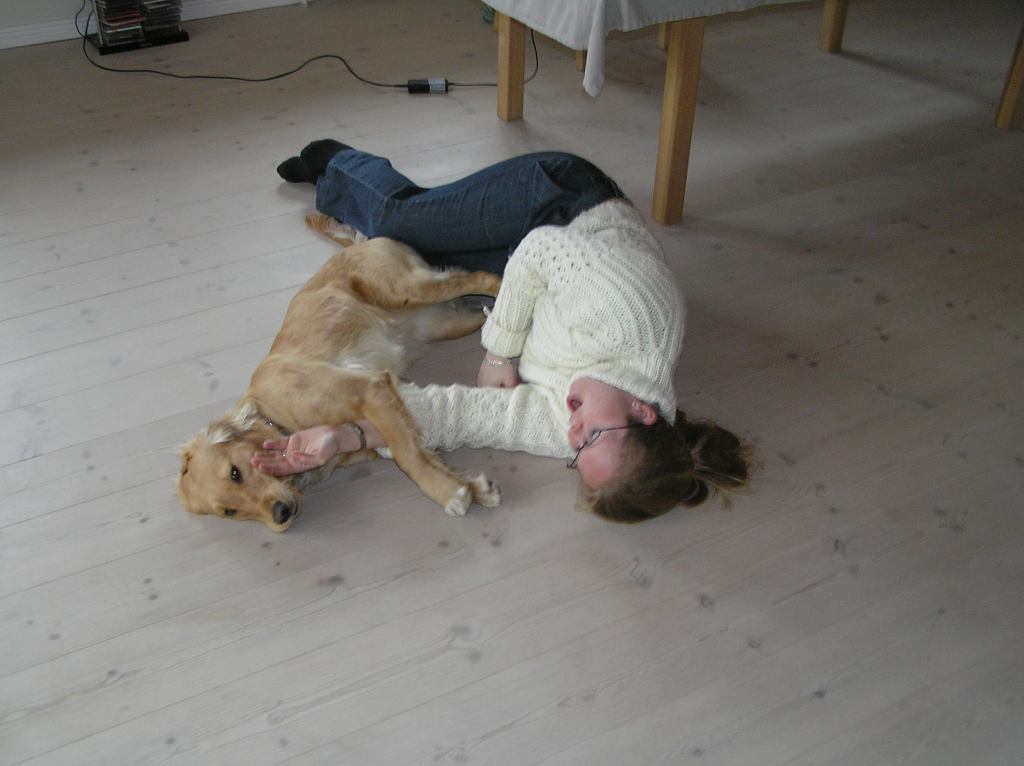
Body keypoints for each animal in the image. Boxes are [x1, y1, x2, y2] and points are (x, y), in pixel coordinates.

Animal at [176, 213, 503, 532]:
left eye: (235, 473)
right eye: (231, 511)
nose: (281, 515)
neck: (278, 417)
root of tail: (357, 244)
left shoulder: (370, 390)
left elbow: (408, 456)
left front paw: (449, 494)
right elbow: (419, 449)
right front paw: (472, 487)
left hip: (407, 290)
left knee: (484, 277)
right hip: (447, 323)